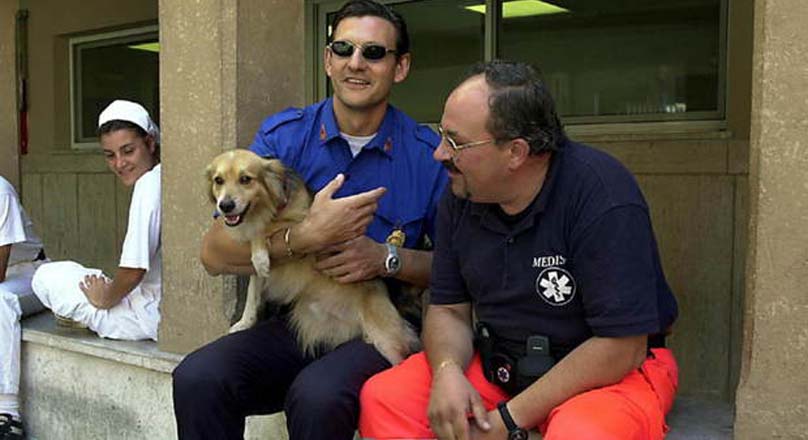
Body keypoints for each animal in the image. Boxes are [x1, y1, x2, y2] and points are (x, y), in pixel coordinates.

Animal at [205, 149, 420, 364]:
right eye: (218, 180)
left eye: (245, 179)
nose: (225, 205)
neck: (265, 207)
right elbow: (253, 292)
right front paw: (245, 322)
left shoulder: (304, 223)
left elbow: (265, 228)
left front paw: (259, 255)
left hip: (386, 339)